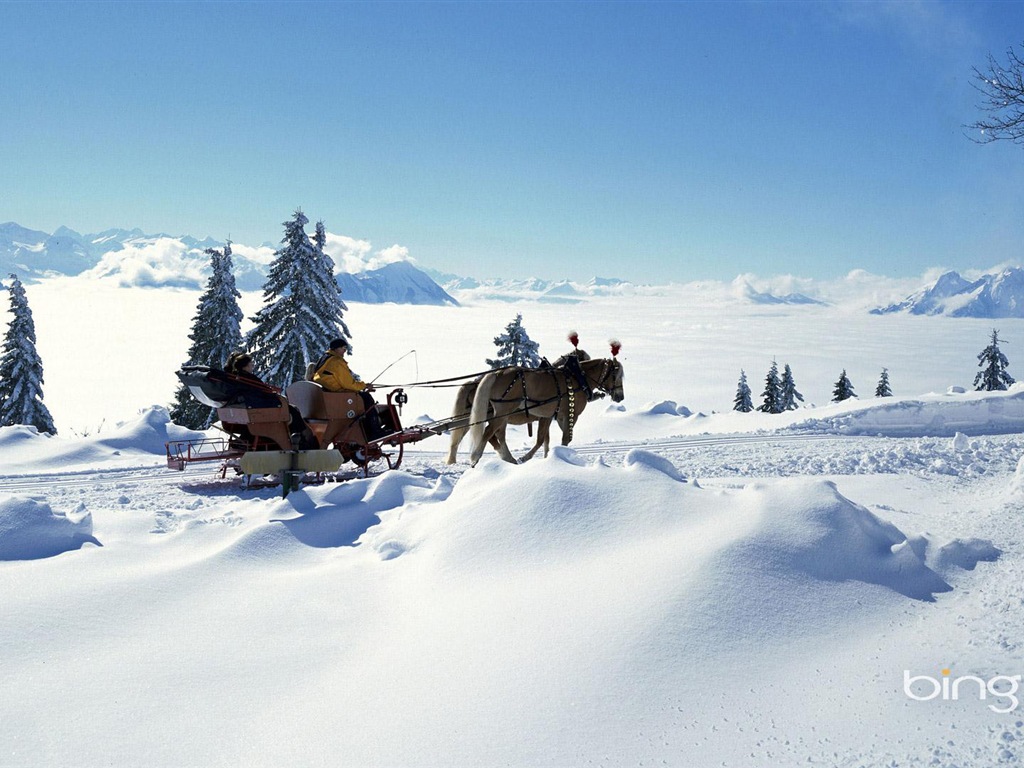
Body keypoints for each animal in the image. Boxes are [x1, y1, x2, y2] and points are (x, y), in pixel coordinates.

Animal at [468, 348, 626, 468]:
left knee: (498, 434)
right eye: (616, 375)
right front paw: (528, 458)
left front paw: (550, 458)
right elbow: (564, 438)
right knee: (489, 432)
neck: (577, 378)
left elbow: (545, 440)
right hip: (503, 411)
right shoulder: (570, 415)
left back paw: (507, 458)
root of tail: (497, 373)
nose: (620, 396)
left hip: (504, 415)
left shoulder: (551, 416)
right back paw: (475, 458)